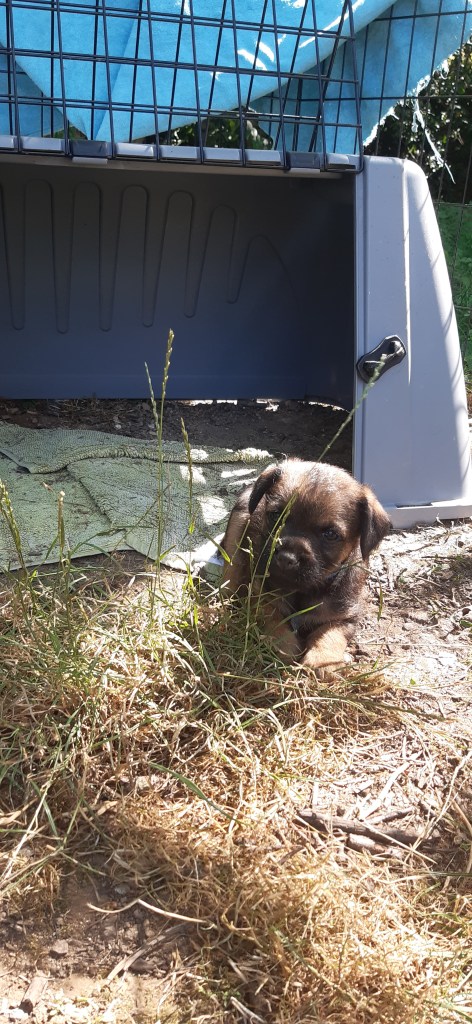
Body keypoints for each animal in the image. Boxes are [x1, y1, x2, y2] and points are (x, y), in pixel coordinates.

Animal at [221, 459, 390, 670]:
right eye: (276, 515)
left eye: (330, 534)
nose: (286, 558)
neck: (302, 591)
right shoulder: (261, 600)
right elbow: (274, 621)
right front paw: (285, 648)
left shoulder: (346, 616)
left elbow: (329, 633)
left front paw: (323, 660)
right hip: (238, 526)